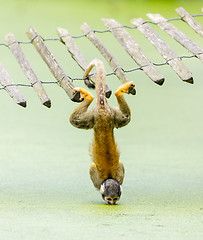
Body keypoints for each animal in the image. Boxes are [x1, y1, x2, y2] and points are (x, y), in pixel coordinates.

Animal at [70, 59, 135, 203]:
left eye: (115, 198)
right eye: (109, 199)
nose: (112, 203)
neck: (109, 177)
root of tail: (102, 109)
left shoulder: (118, 176)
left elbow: (120, 164)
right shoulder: (98, 179)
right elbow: (92, 168)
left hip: (110, 115)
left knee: (125, 118)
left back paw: (115, 93)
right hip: (96, 117)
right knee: (74, 120)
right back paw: (91, 96)